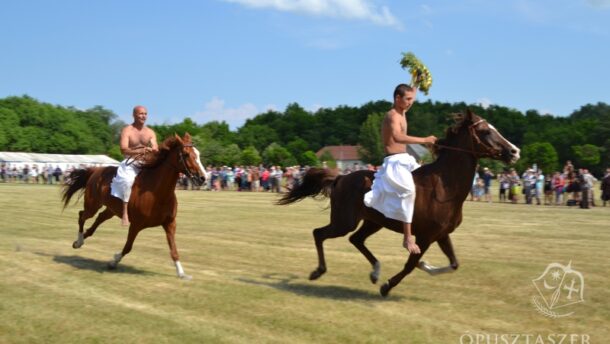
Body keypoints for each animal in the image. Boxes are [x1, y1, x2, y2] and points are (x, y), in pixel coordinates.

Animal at [61, 133, 204, 278]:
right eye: (186, 154)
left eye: (198, 154)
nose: (202, 178)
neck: (157, 193)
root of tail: (96, 170)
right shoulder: (136, 225)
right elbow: (128, 247)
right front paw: (113, 261)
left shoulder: (170, 224)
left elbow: (173, 249)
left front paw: (182, 273)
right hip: (92, 206)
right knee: (82, 215)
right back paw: (79, 241)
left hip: (111, 209)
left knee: (99, 218)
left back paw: (81, 239)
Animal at [276, 109, 516, 296]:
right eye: (486, 131)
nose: (514, 151)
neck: (445, 187)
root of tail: (341, 178)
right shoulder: (425, 236)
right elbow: (409, 265)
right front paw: (388, 286)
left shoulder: (441, 234)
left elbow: (453, 263)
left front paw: (424, 265)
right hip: (344, 222)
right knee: (319, 233)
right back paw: (319, 271)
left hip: (372, 222)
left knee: (356, 239)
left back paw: (375, 271)